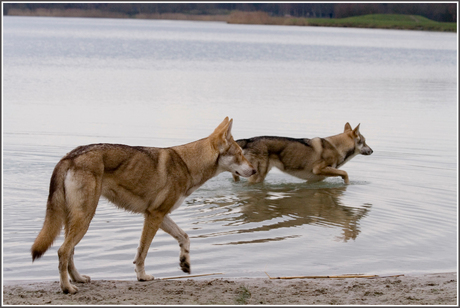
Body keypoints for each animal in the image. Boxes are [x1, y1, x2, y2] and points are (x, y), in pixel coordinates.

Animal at [30, 117, 256, 294]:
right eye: (239, 153)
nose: (254, 171)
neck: (187, 164)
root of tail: (69, 156)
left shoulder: (160, 215)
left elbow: (184, 237)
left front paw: (185, 262)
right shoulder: (154, 216)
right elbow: (143, 251)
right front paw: (142, 276)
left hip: (75, 221)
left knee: (69, 253)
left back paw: (78, 279)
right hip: (84, 219)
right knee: (63, 252)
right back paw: (67, 288)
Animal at [232, 122, 372, 184]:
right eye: (364, 141)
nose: (372, 150)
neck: (337, 147)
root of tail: (249, 139)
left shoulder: (315, 179)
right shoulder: (318, 169)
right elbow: (345, 173)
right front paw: (347, 184)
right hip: (258, 176)